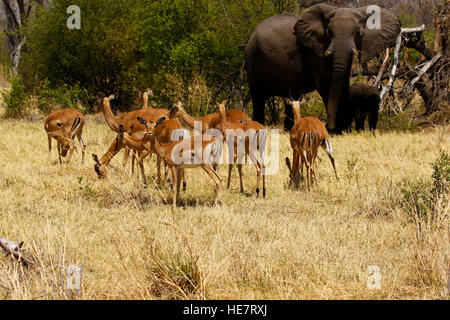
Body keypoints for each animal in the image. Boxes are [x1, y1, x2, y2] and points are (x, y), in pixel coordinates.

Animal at [244, 4, 400, 131]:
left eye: (359, 34)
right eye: (329, 33)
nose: (327, 125)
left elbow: (342, 81)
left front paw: (341, 129)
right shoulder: (316, 52)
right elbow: (327, 83)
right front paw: (337, 129)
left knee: (290, 98)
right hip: (253, 56)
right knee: (258, 97)